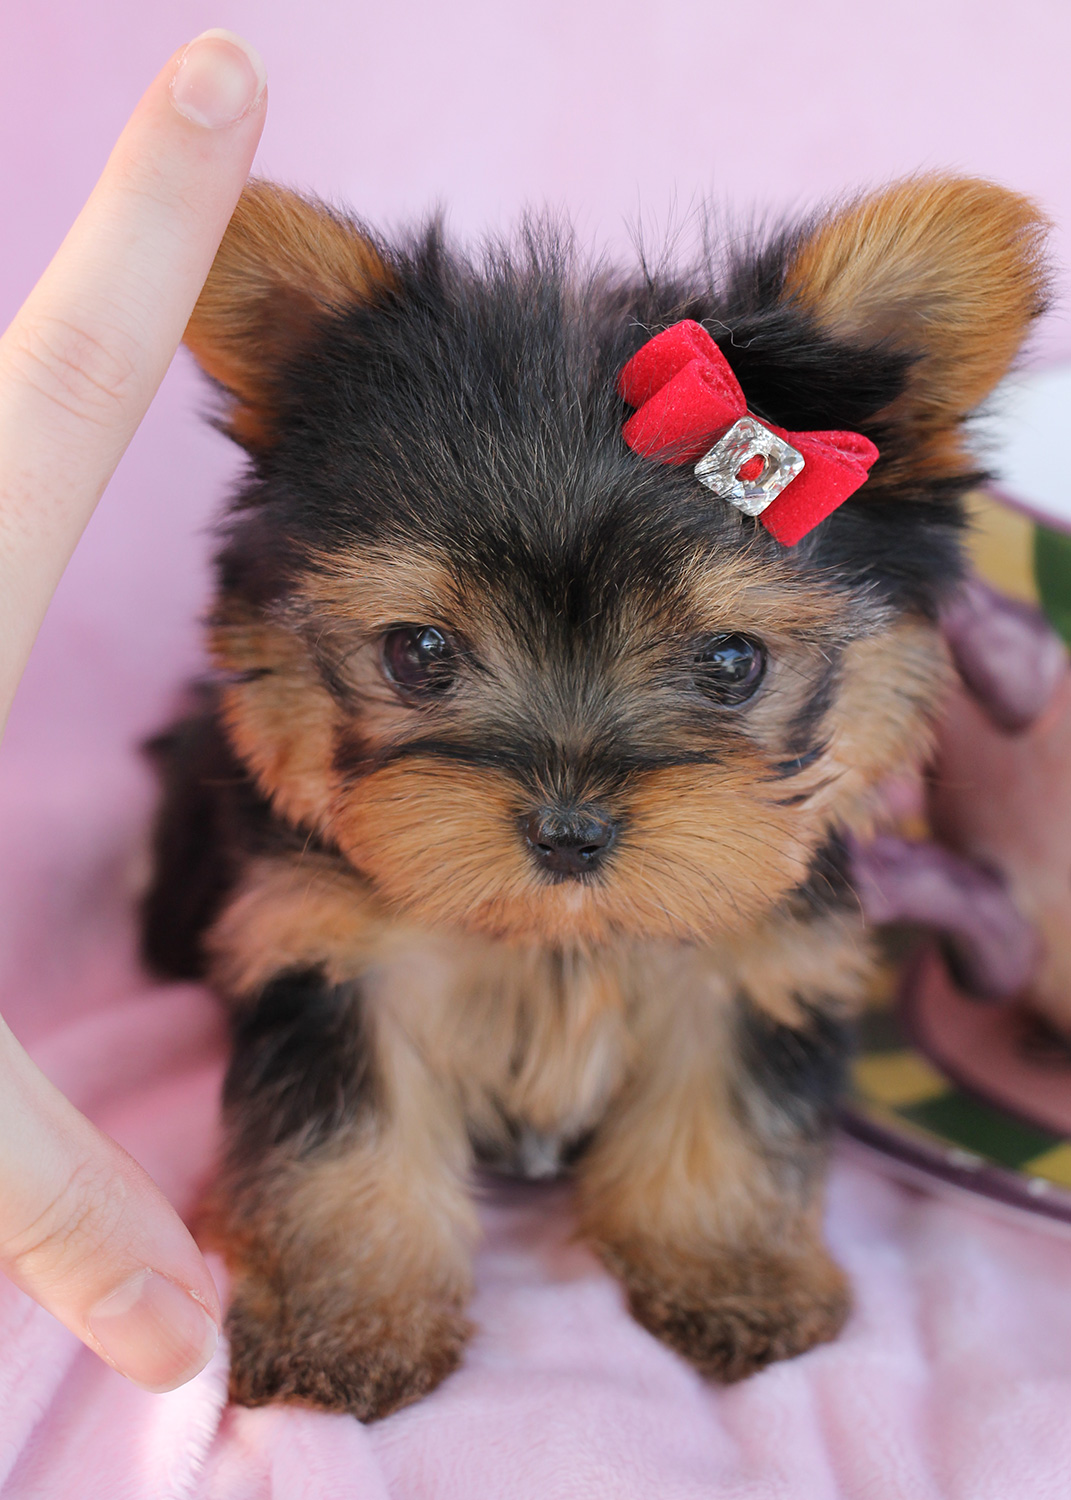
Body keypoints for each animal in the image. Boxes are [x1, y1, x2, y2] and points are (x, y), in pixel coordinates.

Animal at [141, 178, 1044, 1416]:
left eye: (732, 662)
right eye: (419, 653)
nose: (570, 834)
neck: (560, 934)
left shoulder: (750, 955)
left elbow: (727, 1111)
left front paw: (733, 1273)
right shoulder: (331, 954)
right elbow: (342, 1143)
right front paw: (345, 1326)